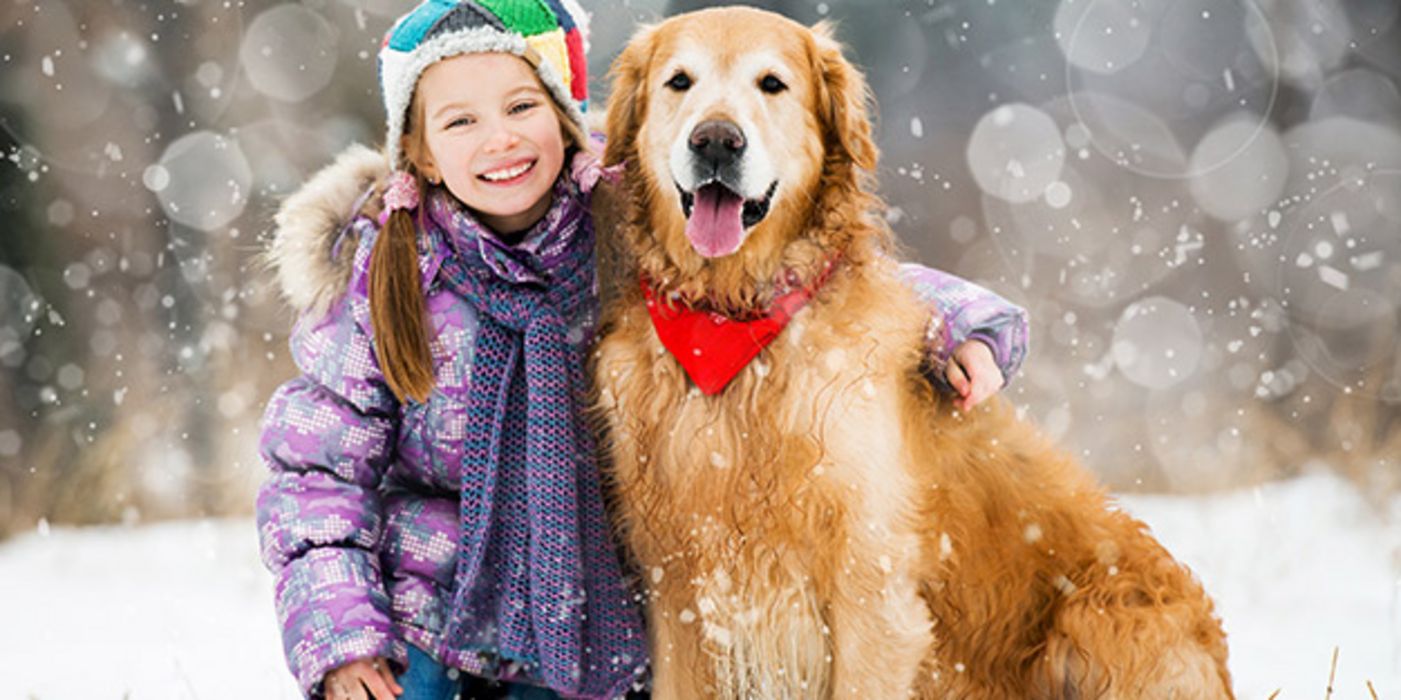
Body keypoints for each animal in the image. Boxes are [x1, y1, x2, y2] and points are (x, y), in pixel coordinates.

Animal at [585, 8, 1232, 697]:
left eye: (772, 84)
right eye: (679, 81)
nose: (715, 141)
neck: (732, 319)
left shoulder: (873, 593)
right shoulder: (676, 589)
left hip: (1109, 613)